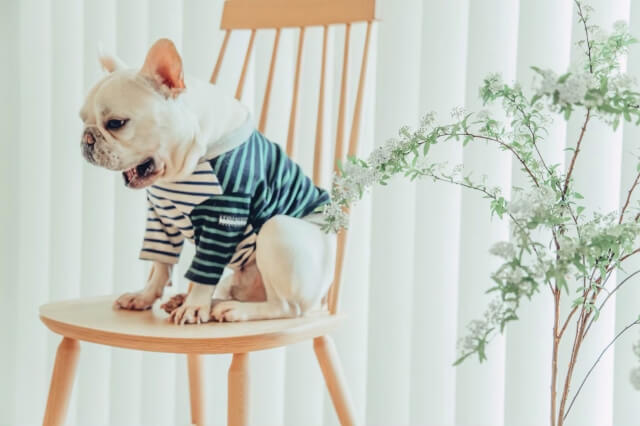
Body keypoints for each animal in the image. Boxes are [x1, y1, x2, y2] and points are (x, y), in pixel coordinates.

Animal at [79, 40, 338, 326]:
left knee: (285, 307)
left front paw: (194, 307)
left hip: (278, 230)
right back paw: (201, 302)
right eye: (82, 119)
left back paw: (233, 310)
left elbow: (204, 271)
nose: (87, 139)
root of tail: (322, 300)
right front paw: (146, 296)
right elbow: (160, 262)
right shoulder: (159, 218)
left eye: (116, 123)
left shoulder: (223, 217)